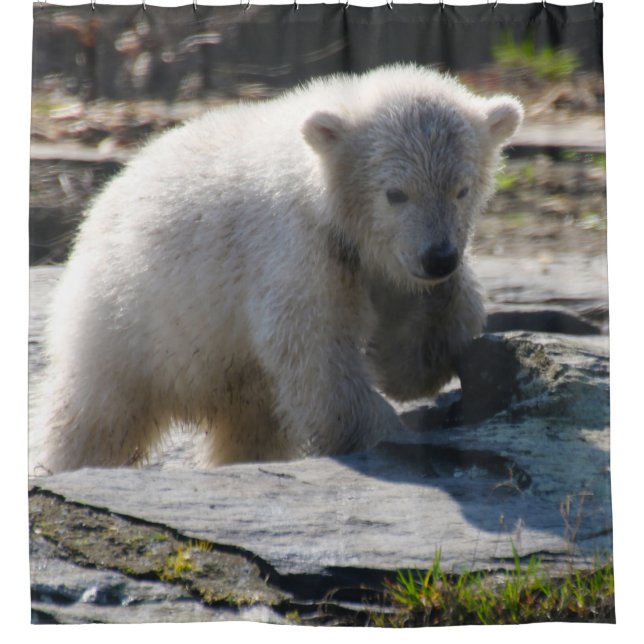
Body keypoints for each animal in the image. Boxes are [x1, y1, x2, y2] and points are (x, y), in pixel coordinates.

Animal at [35, 64, 523, 473]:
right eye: (395, 193)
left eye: (462, 189)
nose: (438, 257)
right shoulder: (299, 247)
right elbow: (316, 353)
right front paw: (391, 438)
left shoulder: (377, 262)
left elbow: (418, 343)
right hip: (126, 318)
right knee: (97, 412)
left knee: (252, 425)